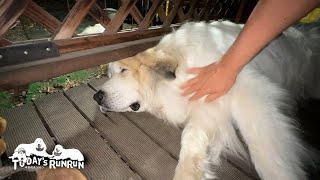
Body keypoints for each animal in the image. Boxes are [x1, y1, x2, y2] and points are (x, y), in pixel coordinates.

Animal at [94, 21, 318, 180]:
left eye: (123, 71)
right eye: (109, 74)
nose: (96, 96)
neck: (184, 68)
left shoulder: (251, 95)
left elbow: (266, 149)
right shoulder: (207, 109)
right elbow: (190, 137)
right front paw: (188, 173)